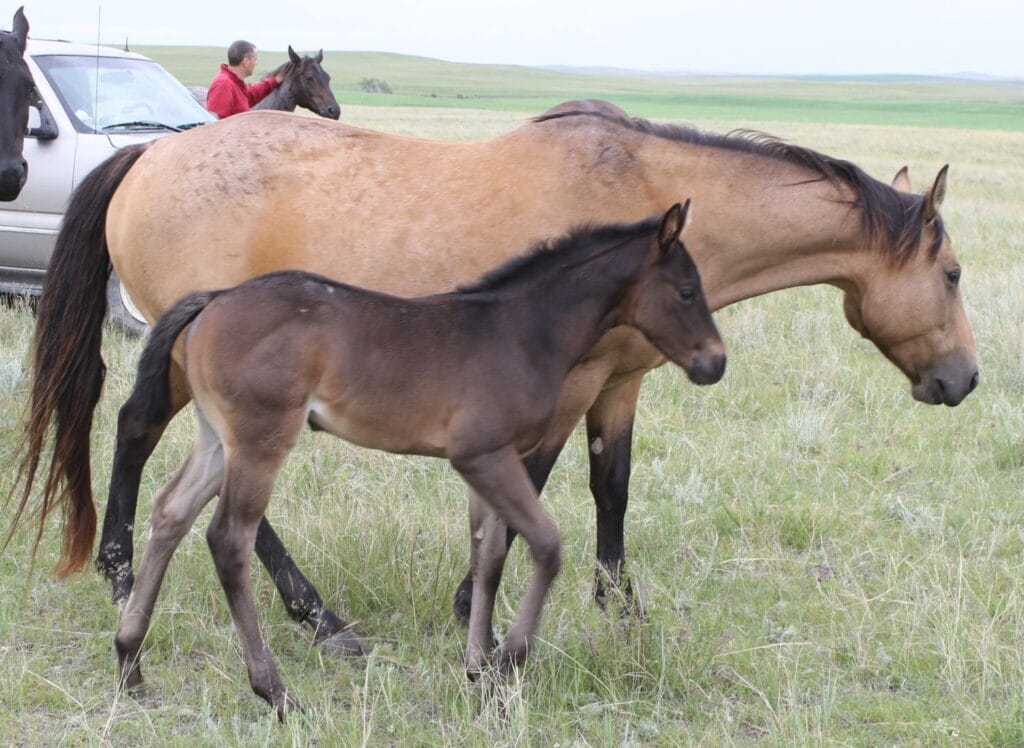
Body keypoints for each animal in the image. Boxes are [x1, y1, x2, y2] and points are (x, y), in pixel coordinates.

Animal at [12, 104, 977, 658]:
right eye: (956, 274)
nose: (964, 379)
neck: (643, 190)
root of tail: (146, 158)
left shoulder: (619, 383)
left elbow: (611, 486)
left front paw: (622, 612)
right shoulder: (561, 389)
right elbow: (535, 491)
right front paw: (472, 610)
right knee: (151, 439)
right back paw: (286, 611)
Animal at [112, 203, 724, 719]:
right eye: (687, 290)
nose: (715, 364)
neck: (522, 331)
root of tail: (213, 298)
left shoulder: (486, 464)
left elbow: (489, 556)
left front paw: (479, 669)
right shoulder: (483, 456)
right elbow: (546, 546)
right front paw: (508, 662)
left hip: (219, 437)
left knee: (171, 512)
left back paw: (129, 662)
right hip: (262, 437)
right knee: (228, 539)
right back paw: (276, 692)